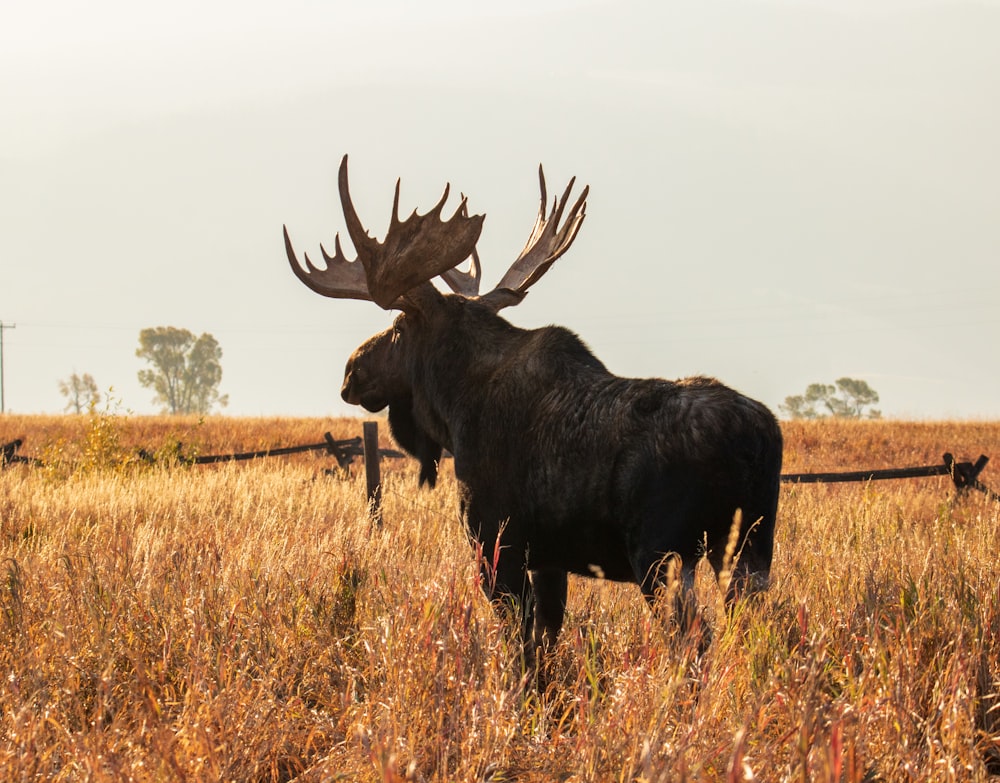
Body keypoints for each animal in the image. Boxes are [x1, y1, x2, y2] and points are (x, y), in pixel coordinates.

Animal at [282, 156, 780, 664]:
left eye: (399, 326)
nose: (351, 372)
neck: (453, 406)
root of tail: (755, 439)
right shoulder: (549, 559)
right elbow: (547, 638)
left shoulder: (496, 543)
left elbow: (521, 644)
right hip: (750, 548)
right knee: (751, 626)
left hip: (663, 553)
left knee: (692, 636)